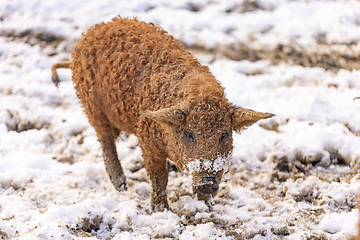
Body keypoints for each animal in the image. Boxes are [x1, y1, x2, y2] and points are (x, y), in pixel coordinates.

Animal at [52, 17, 274, 212]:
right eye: (189, 134)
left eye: (224, 134)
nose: (208, 182)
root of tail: (89, 34)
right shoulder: (146, 140)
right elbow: (159, 177)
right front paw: (161, 210)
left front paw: (207, 205)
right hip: (92, 107)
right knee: (106, 142)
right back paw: (122, 186)